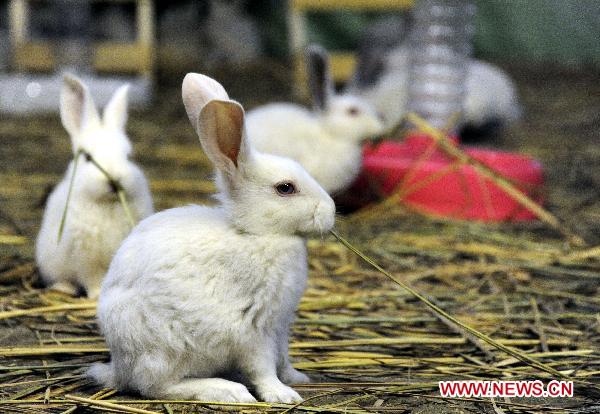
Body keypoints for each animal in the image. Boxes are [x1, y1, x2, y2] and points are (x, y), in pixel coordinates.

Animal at [34, 74, 155, 300]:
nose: (114, 179)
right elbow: (93, 278)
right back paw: (63, 288)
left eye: (128, 156)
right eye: (88, 158)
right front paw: (97, 294)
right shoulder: (85, 258)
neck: (108, 203)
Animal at [88, 74, 338, 404]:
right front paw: (283, 395)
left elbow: (282, 358)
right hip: (165, 347)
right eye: (285, 188)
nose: (331, 211)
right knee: (156, 386)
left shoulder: (280, 325)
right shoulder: (254, 330)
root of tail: (119, 368)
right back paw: (228, 390)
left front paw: (297, 378)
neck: (255, 233)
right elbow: (263, 368)